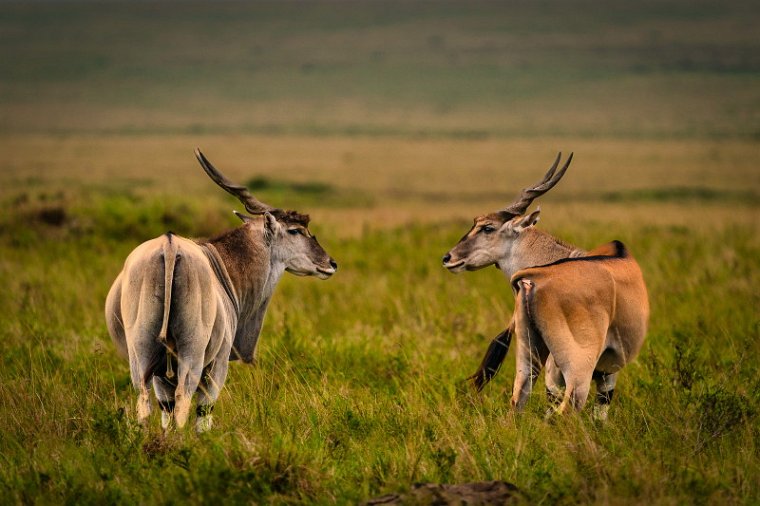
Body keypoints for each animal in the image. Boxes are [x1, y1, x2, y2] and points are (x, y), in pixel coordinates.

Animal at [105, 148, 336, 432]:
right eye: (295, 230)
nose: (330, 263)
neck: (222, 264)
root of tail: (169, 247)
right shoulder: (218, 366)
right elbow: (203, 417)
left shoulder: (161, 375)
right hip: (192, 357)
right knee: (184, 400)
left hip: (141, 358)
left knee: (145, 402)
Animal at [442, 154, 652, 420]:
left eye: (487, 227)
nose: (448, 258)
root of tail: (536, 277)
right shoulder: (604, 372)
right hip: (573, 373)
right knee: (564, 409)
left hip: (531, 360)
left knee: (519, 402)